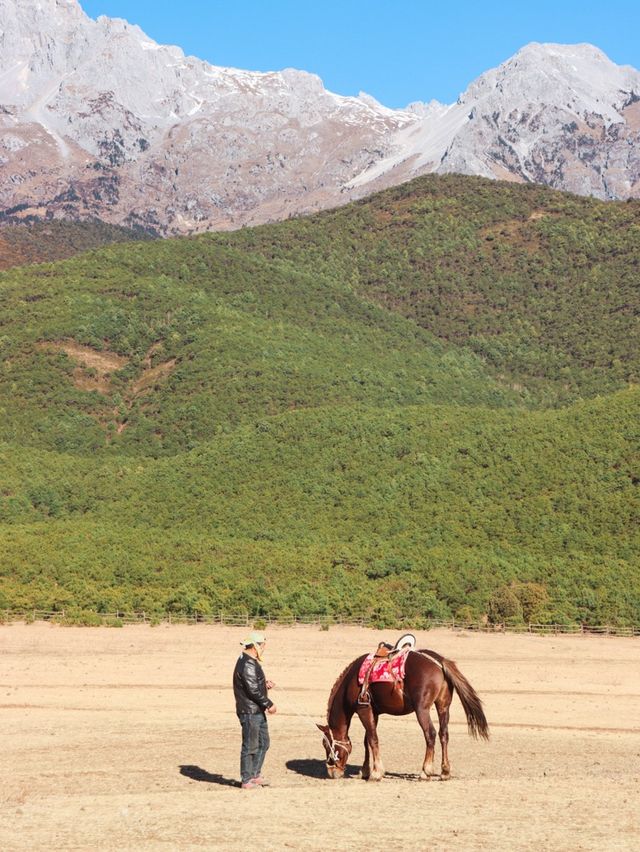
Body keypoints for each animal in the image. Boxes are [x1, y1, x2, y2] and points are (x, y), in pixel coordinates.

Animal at [318, 648, 488, 784]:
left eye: (326, 745)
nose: (331, 772)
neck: (351, 681)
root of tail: (439, 662)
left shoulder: (363, 709)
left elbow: (372, 740)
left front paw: (376, 773)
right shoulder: (374, 712)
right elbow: (367, 741)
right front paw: (365, 771)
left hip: (422, 709)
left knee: (430, 734)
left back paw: (425, 771)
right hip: (443, 707)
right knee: (443, 734)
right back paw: (445, 772)